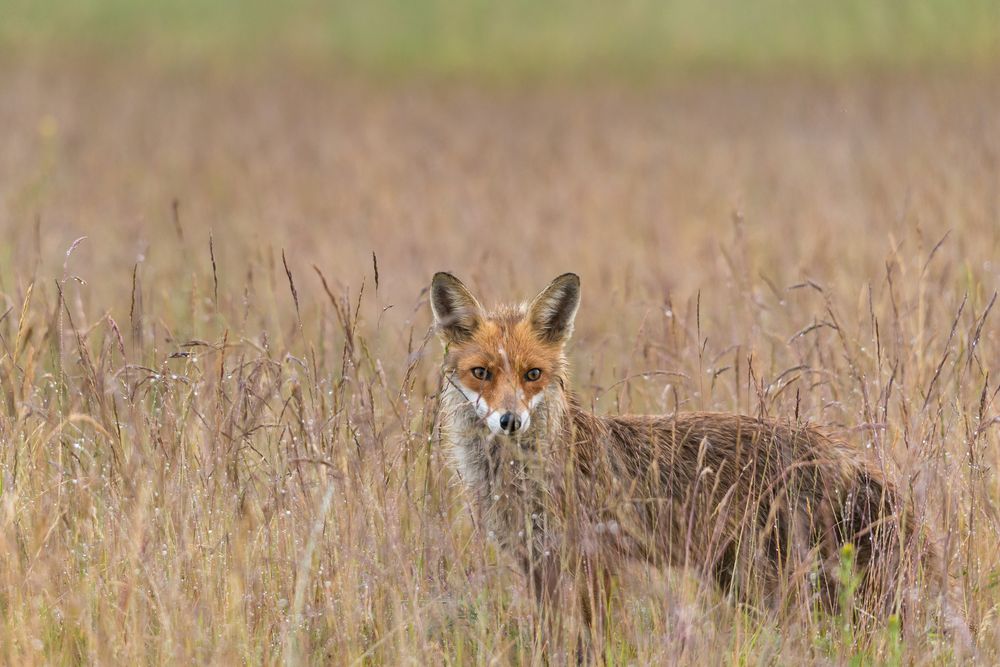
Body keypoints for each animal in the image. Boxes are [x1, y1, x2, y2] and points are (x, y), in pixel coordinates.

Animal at [432, 272, 976, 656]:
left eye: (532, 374)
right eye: (481, 373)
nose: (510, 421)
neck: (520, 478)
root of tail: (844, 453)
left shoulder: (591, 564)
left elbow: (588, 642)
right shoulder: (538, 567)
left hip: (775, 586)